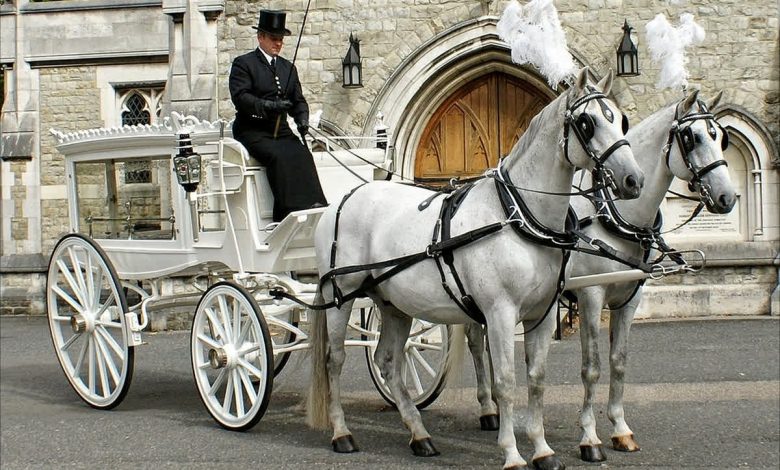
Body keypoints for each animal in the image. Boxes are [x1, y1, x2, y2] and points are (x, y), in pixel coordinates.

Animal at [308, 67, 644, 470]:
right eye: (586, 122)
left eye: (621, 120)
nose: (634, 180)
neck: (517, 215)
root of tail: (344, 198)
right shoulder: (500, 312)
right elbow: (506, 382)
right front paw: (512, 452)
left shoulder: (542, 313)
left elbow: (536, 379)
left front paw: (542, 449)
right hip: (340, 296)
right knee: (335, 360)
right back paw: (342, 432)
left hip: (393, 304)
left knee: (388, 362)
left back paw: (419, 434)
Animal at [464, 89, 736, 462]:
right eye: (690, 137)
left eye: (720, 137)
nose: (728, 197)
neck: (615, 215)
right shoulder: (591, 296)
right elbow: (591, 367)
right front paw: (589, 437)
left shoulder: (629, 299)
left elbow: (619, 362)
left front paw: (620, 429)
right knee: (476, 344)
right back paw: (487, 409)